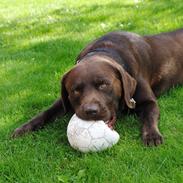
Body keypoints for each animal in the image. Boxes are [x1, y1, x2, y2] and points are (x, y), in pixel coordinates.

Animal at [12, 28, 183, 146]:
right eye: (75, 90)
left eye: (103, 84)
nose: (91, 111)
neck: (105, 50)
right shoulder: (63, 100)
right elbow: (46, 112)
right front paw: (24, 128)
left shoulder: (148, 101)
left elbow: (149, 116)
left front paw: (152, 135)